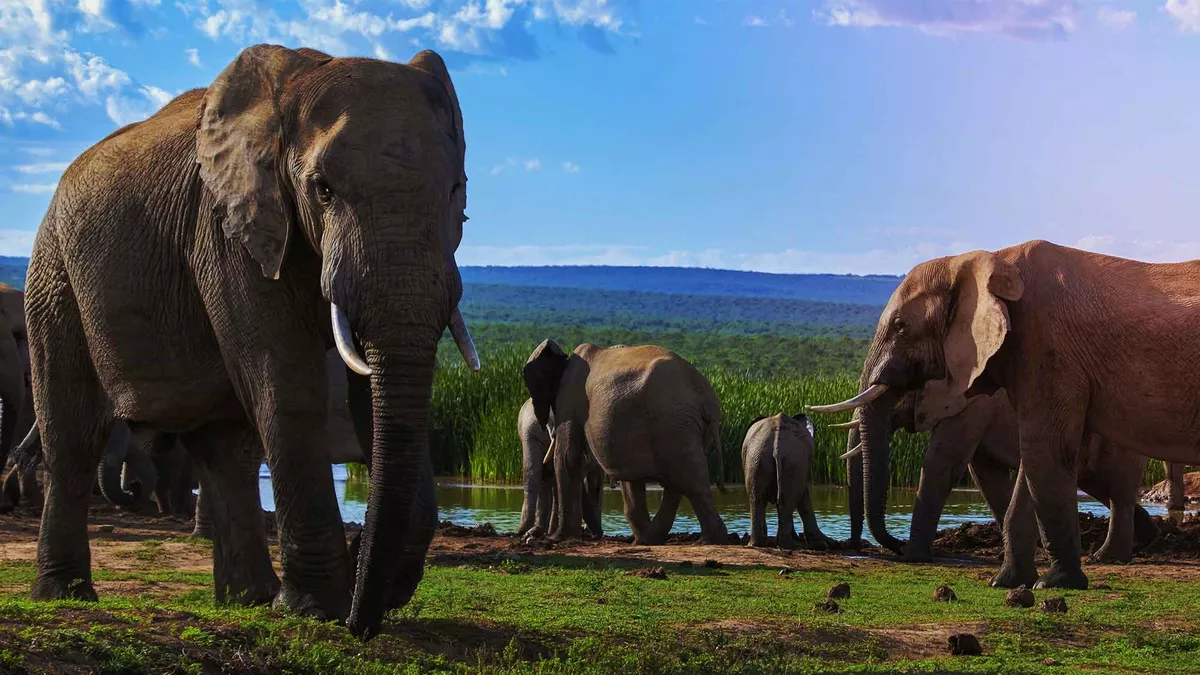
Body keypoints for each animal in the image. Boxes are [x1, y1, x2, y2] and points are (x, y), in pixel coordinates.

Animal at [24, 44, 478, 637]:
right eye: (323, 189)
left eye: (456, 190)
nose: (361, 623)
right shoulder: (228, 227)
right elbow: (285, 382)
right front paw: (316, 610)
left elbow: (369, 394)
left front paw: (364, 587)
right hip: (54, 273)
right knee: (72, 432)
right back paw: (66, 596)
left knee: (225, 450)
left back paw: (249, 600)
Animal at [742, 413, 831, 549]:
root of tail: (777, 448)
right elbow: (804, 495)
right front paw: (821, 544)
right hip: (791, 460)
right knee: (786, 501)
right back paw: (791, 545)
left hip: (758, 459)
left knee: (757, 499)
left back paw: (757, 544)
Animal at [839, 387, 1158, 564]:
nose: (855, 545)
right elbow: (985, 475)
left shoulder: (974, 405)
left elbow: (943, 463)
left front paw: (913, 556)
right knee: (1101, 486)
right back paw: (1146, 540)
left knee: (1118, 489)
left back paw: (1108, 557)